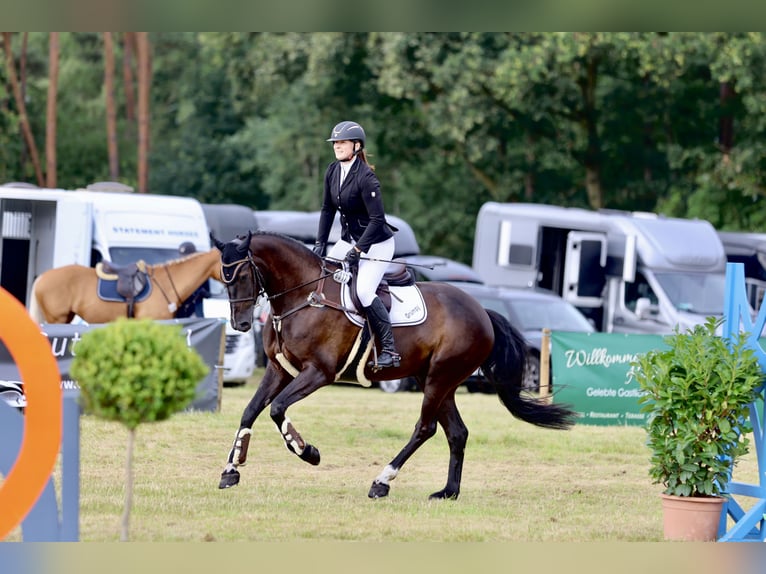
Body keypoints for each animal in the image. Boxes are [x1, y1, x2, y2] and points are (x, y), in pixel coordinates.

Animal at [213, 232, 572, 502]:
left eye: (242, 275)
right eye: (223, 277)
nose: (241, 324)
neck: (304, 296)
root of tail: (482, 311)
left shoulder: (318, 372)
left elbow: (277, 409)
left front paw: (308, 452)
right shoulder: (279, 369)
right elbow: (250, 411)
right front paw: (231, 470)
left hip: (439, 378)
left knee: (425, 428)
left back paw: (382, 481)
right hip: (436, 380)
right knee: (457, 432)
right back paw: (448, 492)